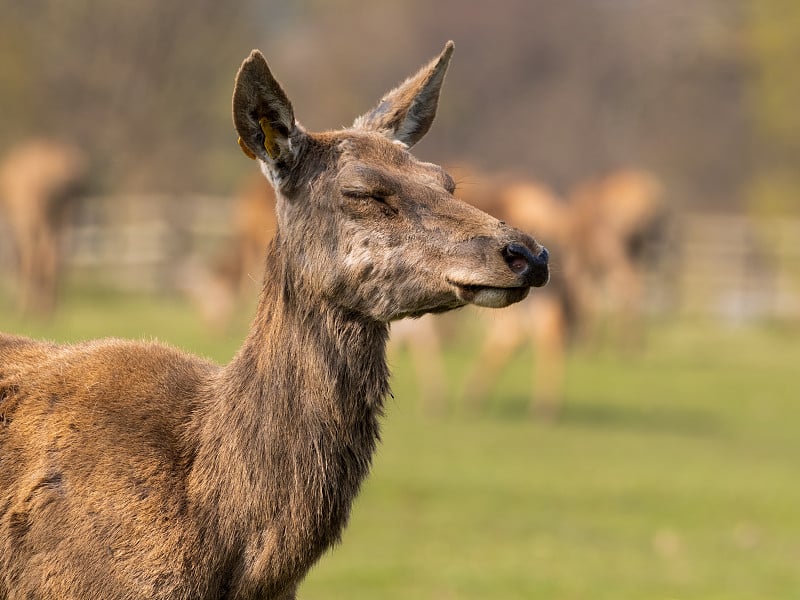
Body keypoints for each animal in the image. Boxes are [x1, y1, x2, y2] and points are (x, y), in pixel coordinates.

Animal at [0, 139, 88, 316]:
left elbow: (28, 258)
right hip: (64, 216)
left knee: (37, 256)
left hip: (37, 216)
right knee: (56, 258)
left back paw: (29, 308)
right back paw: (52, 309)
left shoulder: (23, 218)